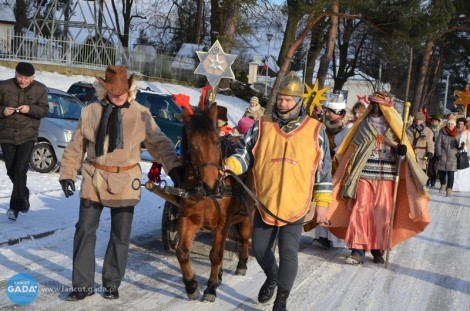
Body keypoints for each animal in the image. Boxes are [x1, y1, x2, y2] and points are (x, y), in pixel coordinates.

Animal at [175, 103, 252, 304]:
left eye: (217, 142)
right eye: (192, 144)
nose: (211, 184)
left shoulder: (222, 223)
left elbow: (215, 255)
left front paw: (210, 288)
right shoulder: (189, 218)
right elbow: (182, 251)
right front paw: (191, 285)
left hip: (249, 214)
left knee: (244, 237)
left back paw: (242, 264)